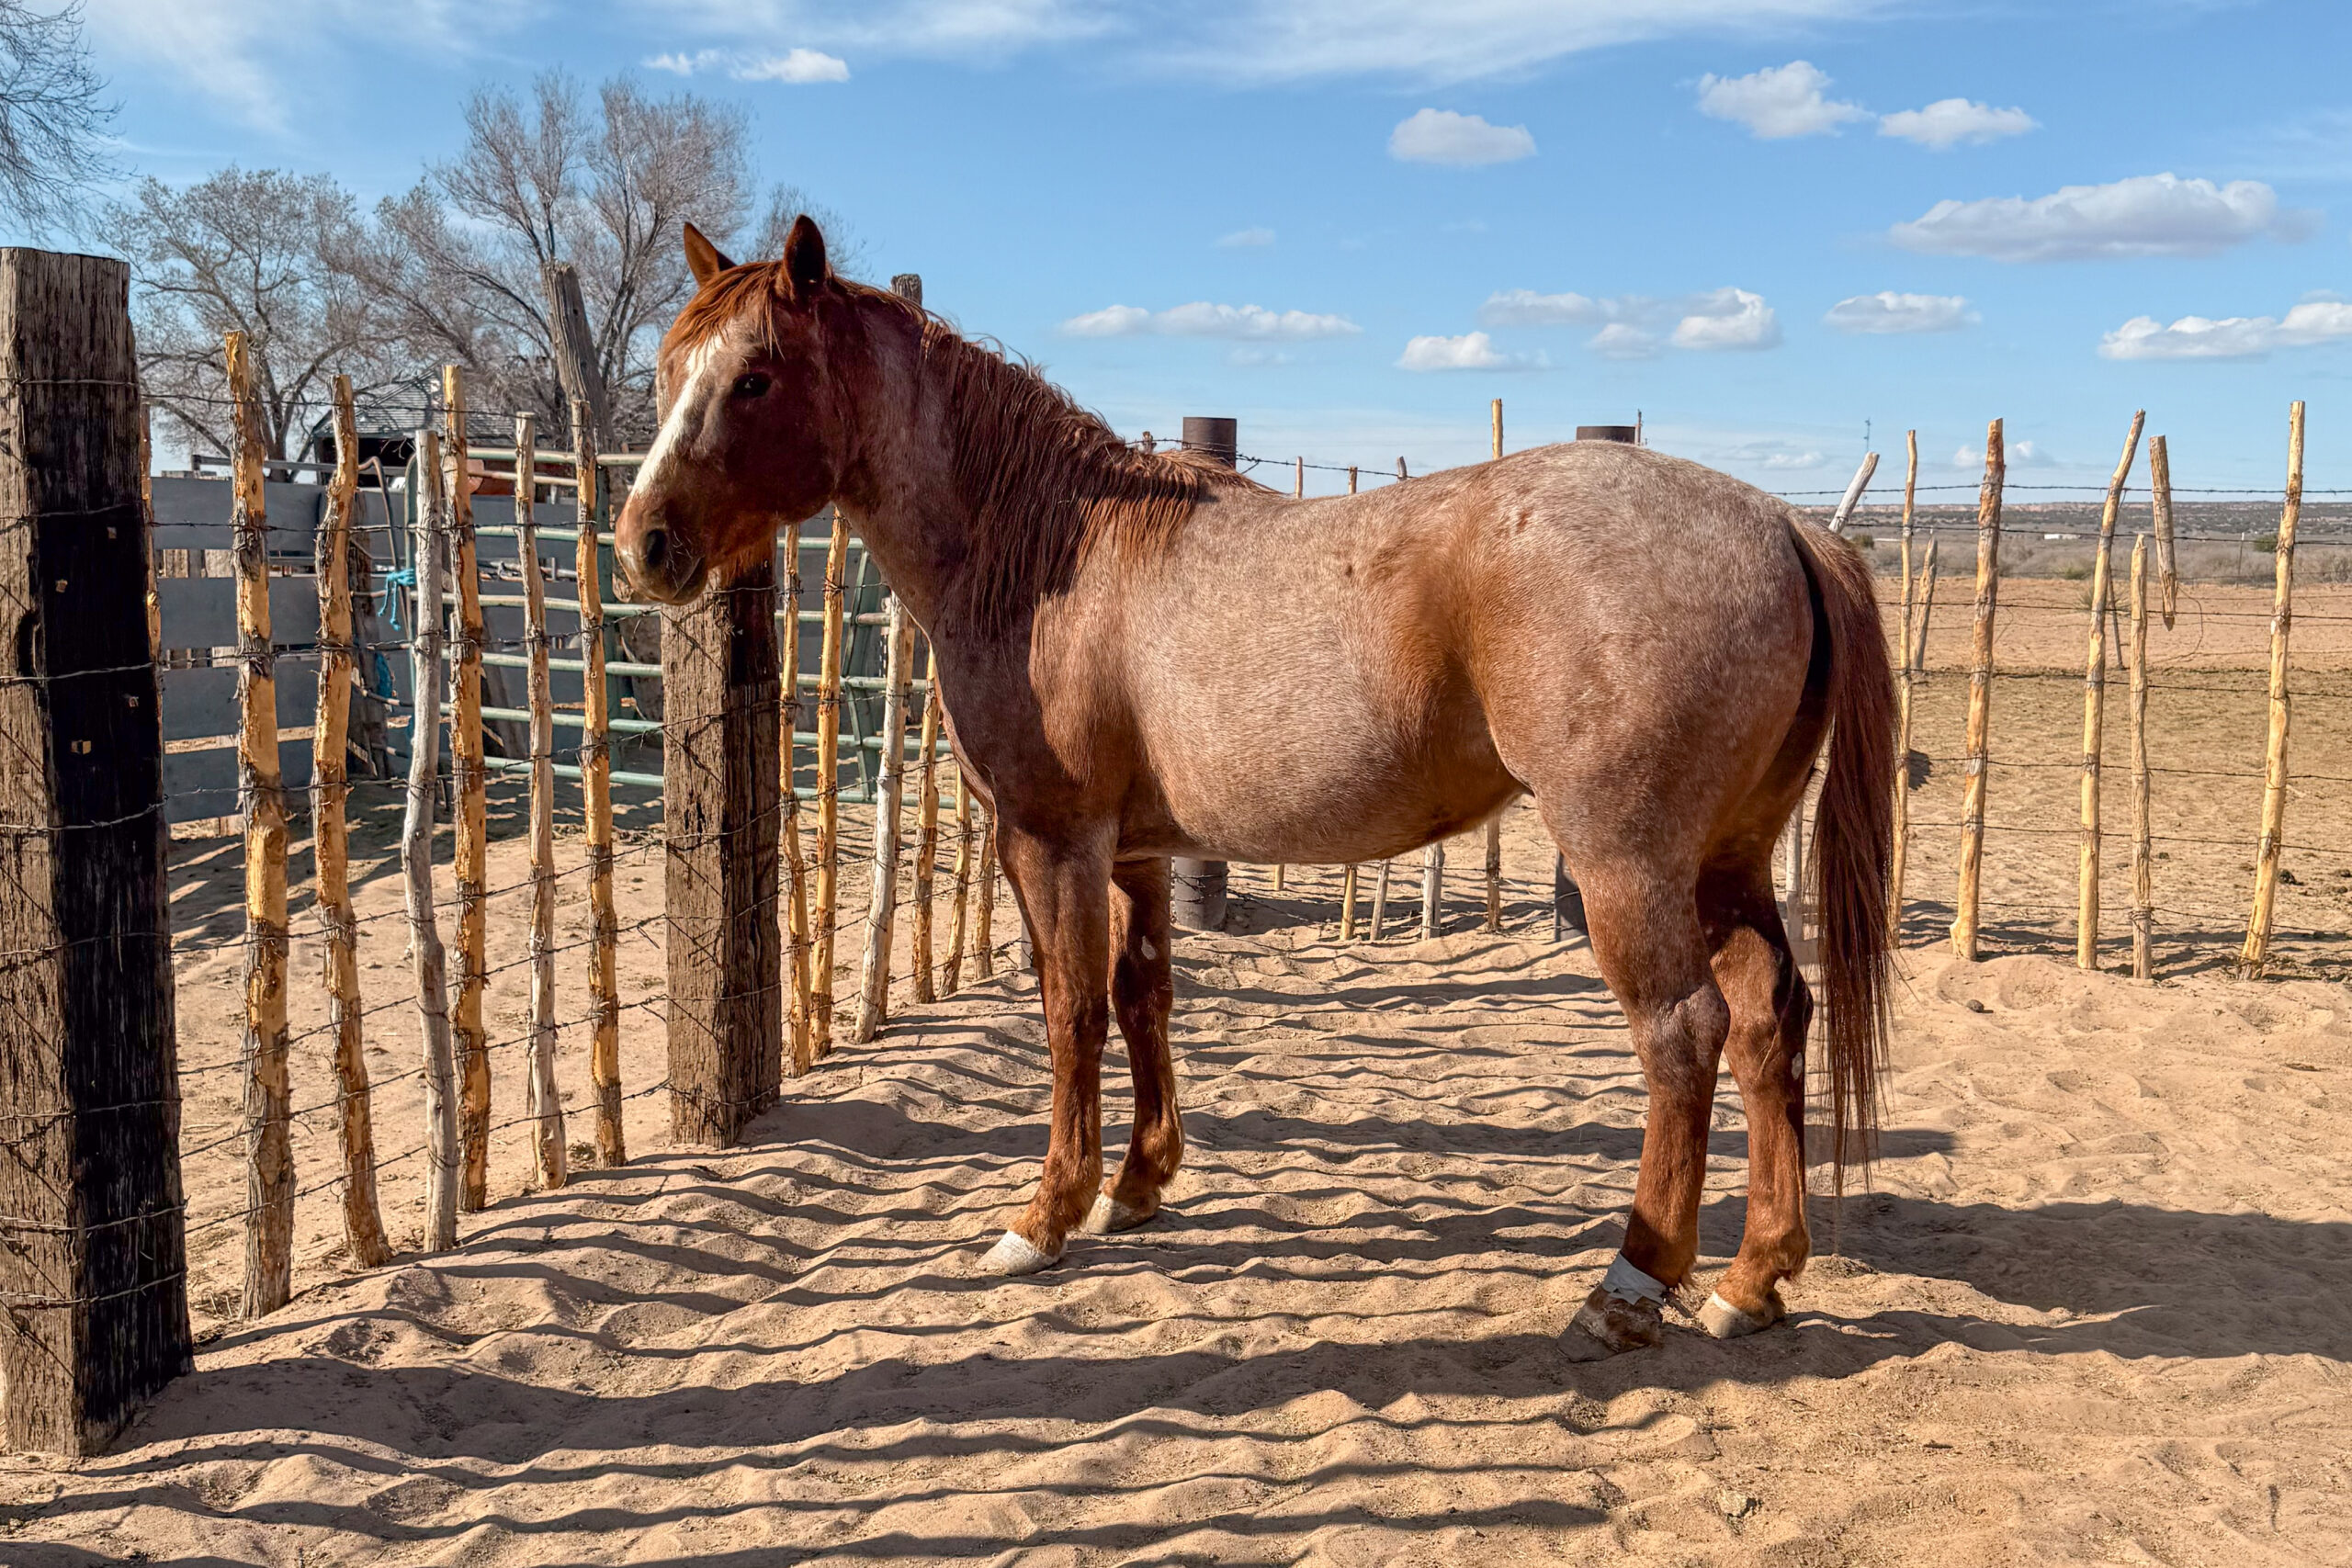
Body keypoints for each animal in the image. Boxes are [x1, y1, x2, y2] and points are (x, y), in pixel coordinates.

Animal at [614, 215, 1896, 1360]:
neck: (1047, 557)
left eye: (755, 378)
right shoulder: (1134, 852)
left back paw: (1631, 1282)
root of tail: (1780, 523)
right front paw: (1137, 1184)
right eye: (672, 371)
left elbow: (1068, 1012)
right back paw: (1752, 1278)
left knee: (1683, 1034)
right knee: (1770, 1022)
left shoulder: (1051, 841)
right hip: (1725, 860)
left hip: (1629, 864)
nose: (642, 547)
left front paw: (1046, 1214)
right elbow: (1141, 997)